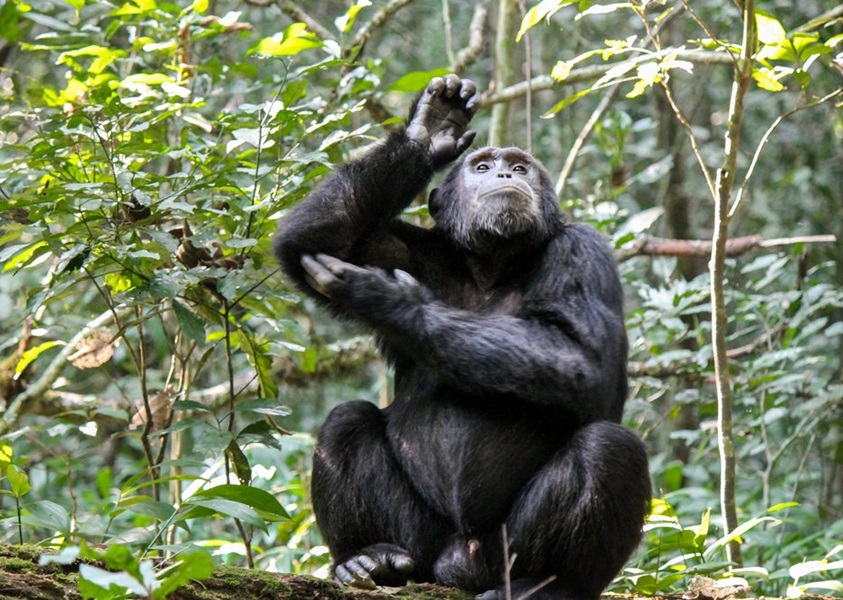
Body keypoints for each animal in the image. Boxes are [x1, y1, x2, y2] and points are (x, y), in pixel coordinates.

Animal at [274, 75, 648, 600]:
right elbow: (310, 242)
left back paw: (550, 584)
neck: (490, 265)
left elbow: (585, 361)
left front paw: (390, 301)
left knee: (609, 447)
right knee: (345, 421)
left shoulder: (585, 252)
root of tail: (457, 566)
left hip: (503, 553)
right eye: (481, 166)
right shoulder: (397, 250)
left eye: (520, 167)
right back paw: (369, 559)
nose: (504, 174)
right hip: (423, 544)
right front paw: (430, 129)